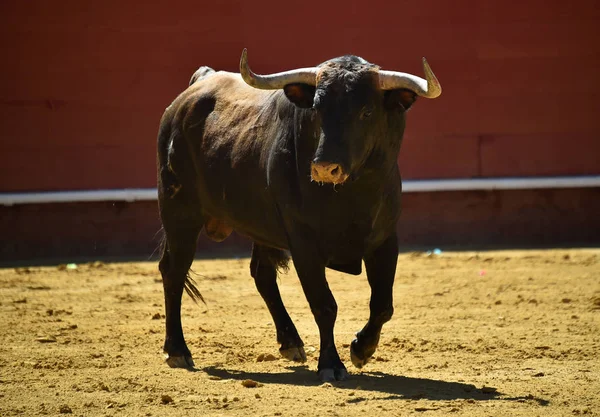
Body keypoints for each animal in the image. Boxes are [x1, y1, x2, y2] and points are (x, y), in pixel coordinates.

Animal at [156, 49, 440, 380]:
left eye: (367, 112)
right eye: (317, 109)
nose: (324, 168)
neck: (351, 196)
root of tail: (198, 84)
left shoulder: (385, 240)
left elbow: (383, 304)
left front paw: (361, 349)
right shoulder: (304, 243)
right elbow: (324, 305)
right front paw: (331, 364)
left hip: (260, 225)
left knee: (262, 274)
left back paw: (290, 342)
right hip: (179, 210)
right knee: (173, 271)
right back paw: (177, 350)